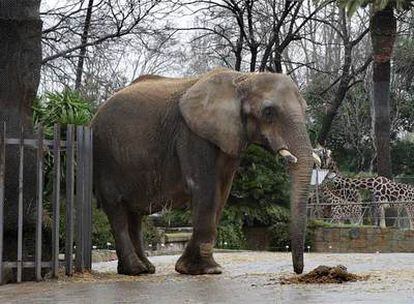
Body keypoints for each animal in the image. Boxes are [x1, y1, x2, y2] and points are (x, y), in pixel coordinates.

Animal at [92, 68, 318, 276]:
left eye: (306, 109)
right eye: (269, 112)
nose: (298, 271)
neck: (243, 78)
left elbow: (222, 193)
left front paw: (188, 267)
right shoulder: (192, 134)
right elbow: (206, 189)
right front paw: (208, 270)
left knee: (134, 214)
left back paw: (145, 268)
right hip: (105, 157)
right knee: (117, 210)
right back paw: (135, 270)